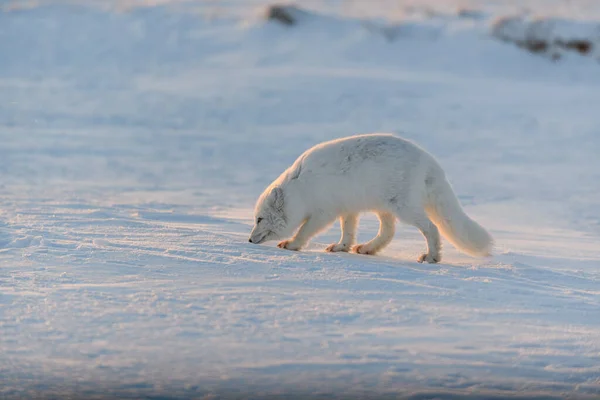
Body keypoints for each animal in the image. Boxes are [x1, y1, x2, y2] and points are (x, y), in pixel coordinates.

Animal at [248, 134, 492, 262]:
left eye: (259, 219)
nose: (249, 240)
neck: (301, 188)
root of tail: (430, 163)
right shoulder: (347, 208)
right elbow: (348, 231)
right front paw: (341, 247)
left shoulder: (324, 211)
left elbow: (304, 230)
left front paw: (291, 244)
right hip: (383, 207)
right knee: (388, 232)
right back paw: (367, 248)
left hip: (404, 207)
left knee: (431, 228)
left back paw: (431, 257)